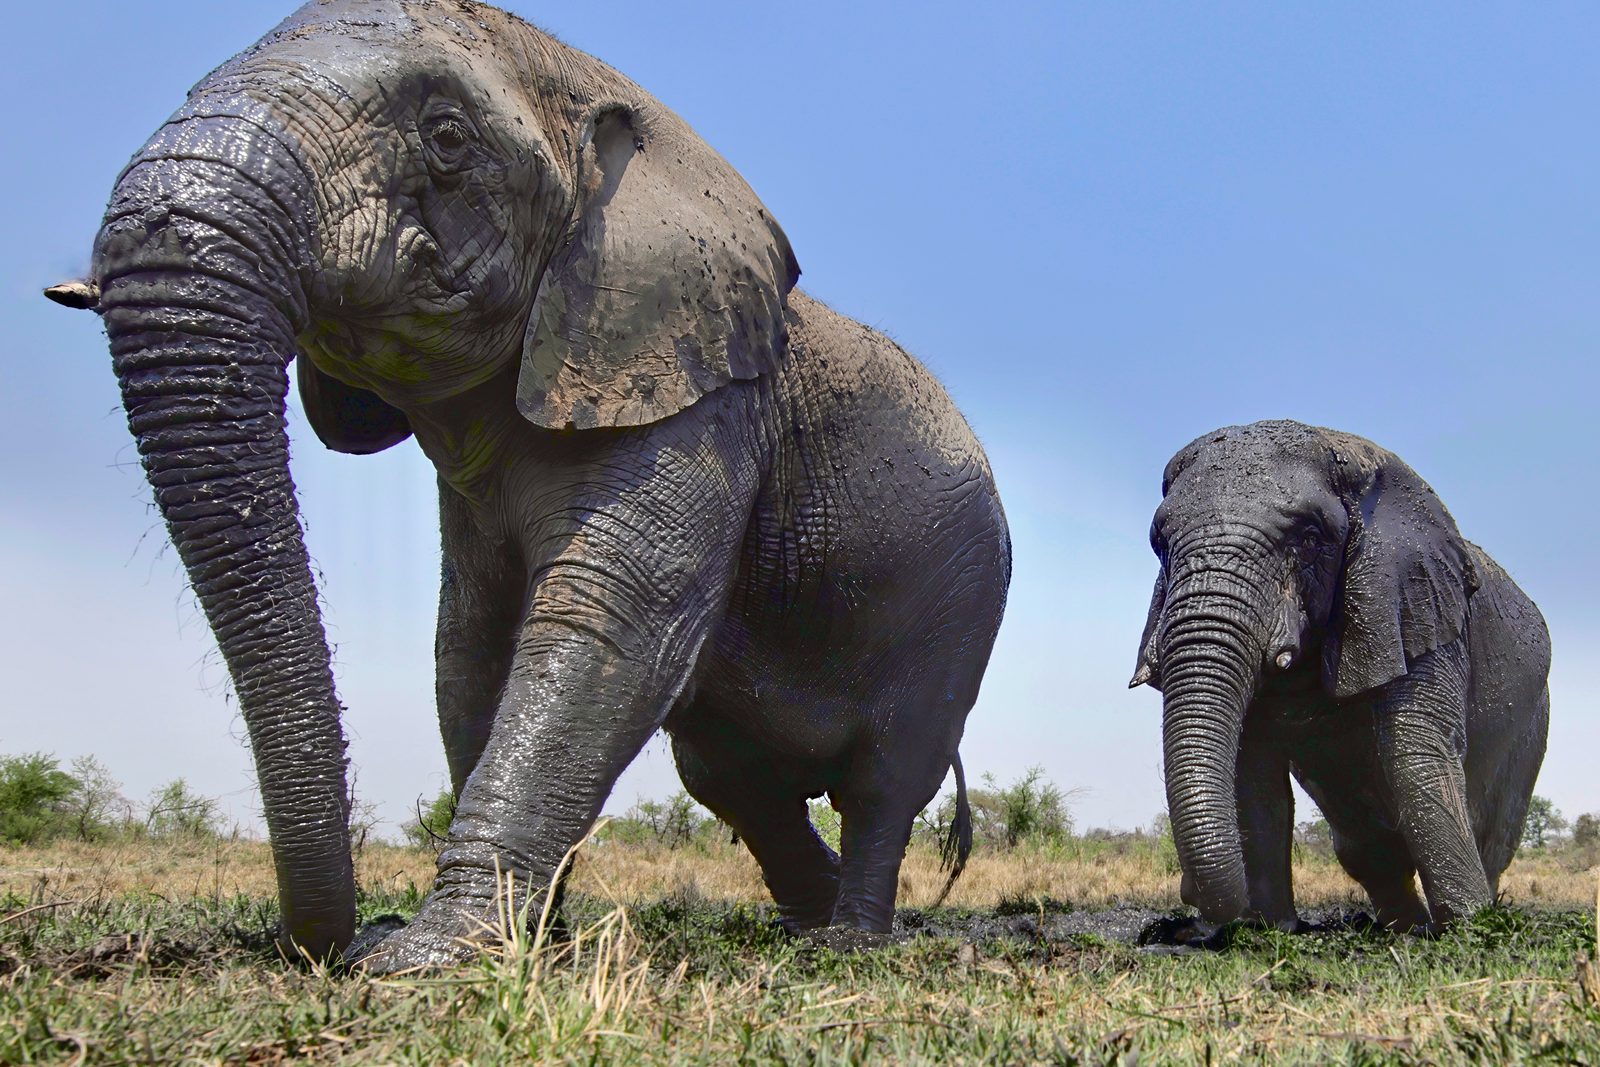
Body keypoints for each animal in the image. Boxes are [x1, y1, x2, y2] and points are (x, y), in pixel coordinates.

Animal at [46, 0, 1010, 969]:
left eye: (446, 138)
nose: (330, 943)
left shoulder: (703, 402)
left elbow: (604, 617)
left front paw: (424, 960)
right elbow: (473, 645)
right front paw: (516, 941)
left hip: (960, 599)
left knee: (882, 777)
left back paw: (849, 942)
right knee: (731, 774)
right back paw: (805, 921)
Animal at [1130, 420, 1549, 932]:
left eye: (1311, 538)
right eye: (1160, 544)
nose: (1186, 895)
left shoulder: (1419, 605)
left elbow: (1414, 749)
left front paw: (1467, 928)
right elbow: (1252, 771)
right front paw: (1268, 930)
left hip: (1533, 724)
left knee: (1493, 835)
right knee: (1365, 849)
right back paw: (1403, 928)